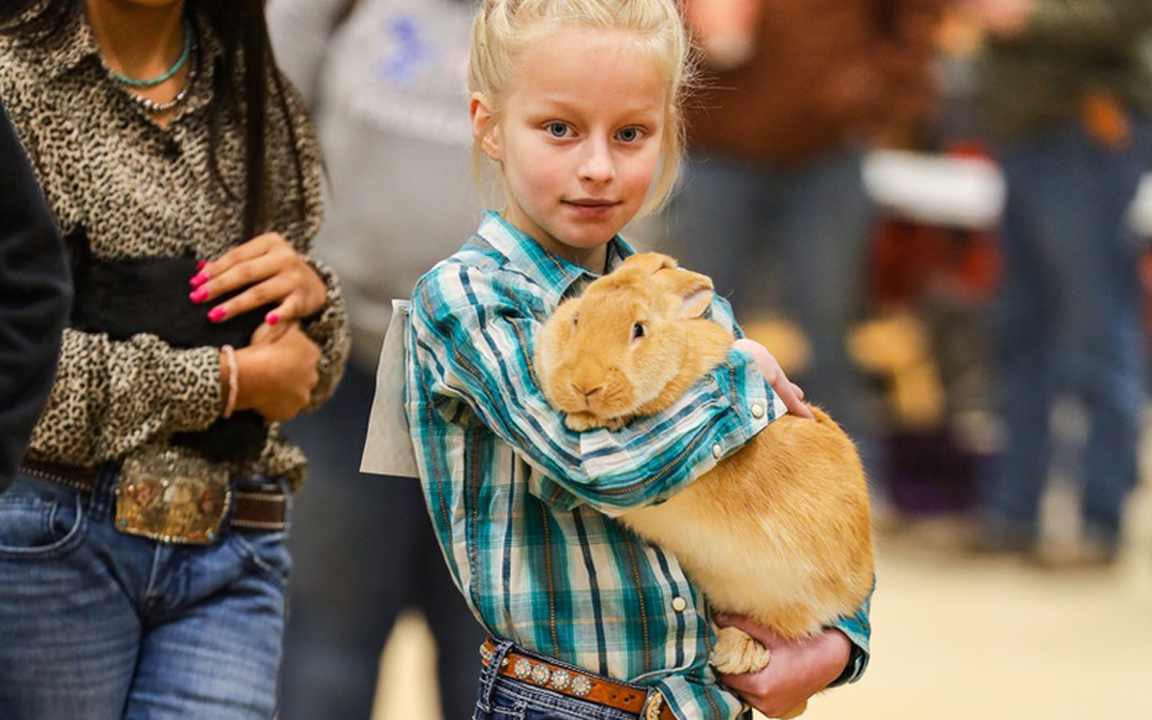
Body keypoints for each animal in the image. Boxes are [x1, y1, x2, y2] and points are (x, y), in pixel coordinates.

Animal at [534, 252, 873, 714]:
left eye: (639, 329)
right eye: (576, 318)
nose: (585, 384)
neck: (681, 352)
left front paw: (584, 418)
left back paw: (734, 652)